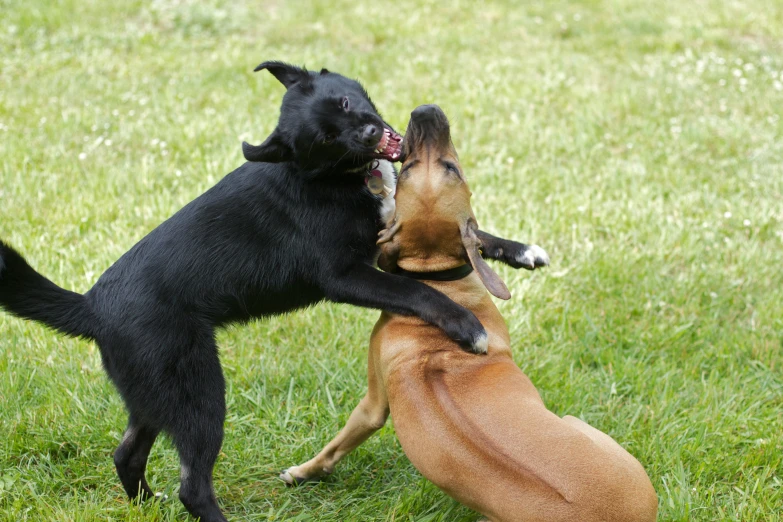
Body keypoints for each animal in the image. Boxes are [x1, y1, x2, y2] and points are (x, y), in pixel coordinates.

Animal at [0, 62, 548, 520]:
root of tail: (91, 306)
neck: (333, 176)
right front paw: (466, 327)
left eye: (344, 102)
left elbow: (474, 236)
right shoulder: (346, 275)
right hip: (198, 391)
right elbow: (420, 292)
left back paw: (145, 504)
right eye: (326, 138)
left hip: (154, 392)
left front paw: (523, 251)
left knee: (126, 454)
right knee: (192, 485)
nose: (371, 133)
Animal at [284, 103, 660, 516]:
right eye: (410, 169)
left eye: (451, 167)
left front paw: (303, 472)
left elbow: (339, 443)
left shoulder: (372, 404)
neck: (435, 278)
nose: (424, 110)